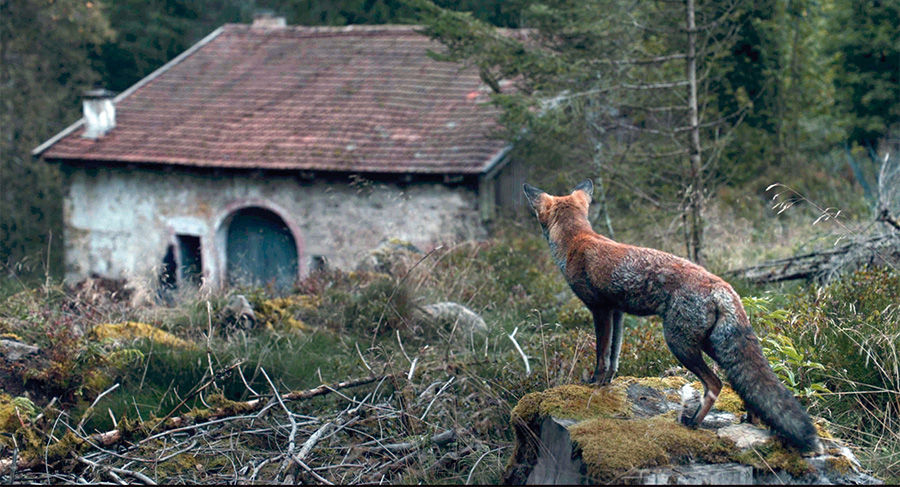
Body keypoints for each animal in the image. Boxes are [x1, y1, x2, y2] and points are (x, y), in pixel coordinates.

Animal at [520, 181, 824, 456]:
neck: (577, 241)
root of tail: (722, 285)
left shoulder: (600, 309)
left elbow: (601, 354)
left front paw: (594, 383)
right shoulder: (618, 312)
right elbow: (615, 355)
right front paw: (607, 383)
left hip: (679, 344)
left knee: (715, 384)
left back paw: (693, 423)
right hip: (710, 345)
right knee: (748, 386)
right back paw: (751, 420)